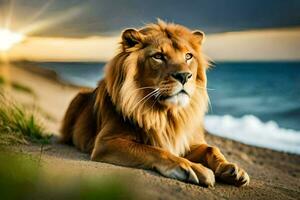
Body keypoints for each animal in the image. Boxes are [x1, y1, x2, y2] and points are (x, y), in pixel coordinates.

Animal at [59, 19, 250, 187]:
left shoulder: (186, 141)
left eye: (188, 56)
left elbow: (212, 149)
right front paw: (193, 168)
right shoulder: (105, 142)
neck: (167, 114)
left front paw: (232, 170)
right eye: (158, 56)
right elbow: (155, 149)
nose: (184, 76)